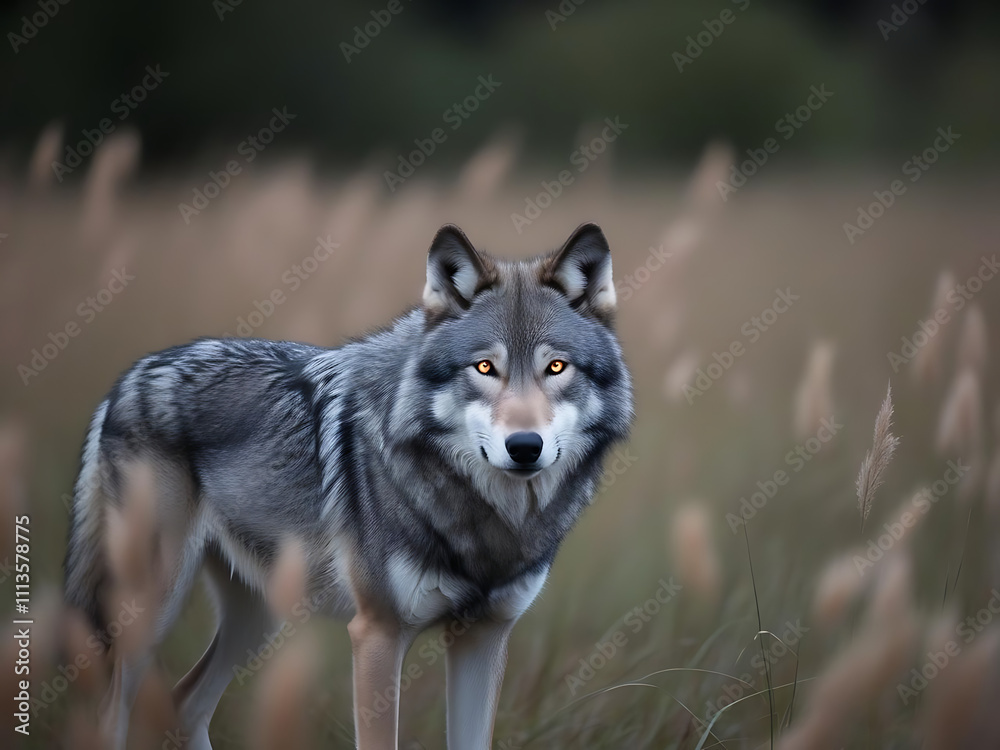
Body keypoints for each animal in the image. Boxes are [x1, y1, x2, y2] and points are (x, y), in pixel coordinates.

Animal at [64, 222, 633, 749]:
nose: (524, 446)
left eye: (556, 367)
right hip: (154, 611)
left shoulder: (485, 637)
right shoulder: (377, 635)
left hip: (258, 616)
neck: (484, 518)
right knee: (111, 714)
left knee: (185, 705)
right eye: (485, 367)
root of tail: (129, 377)